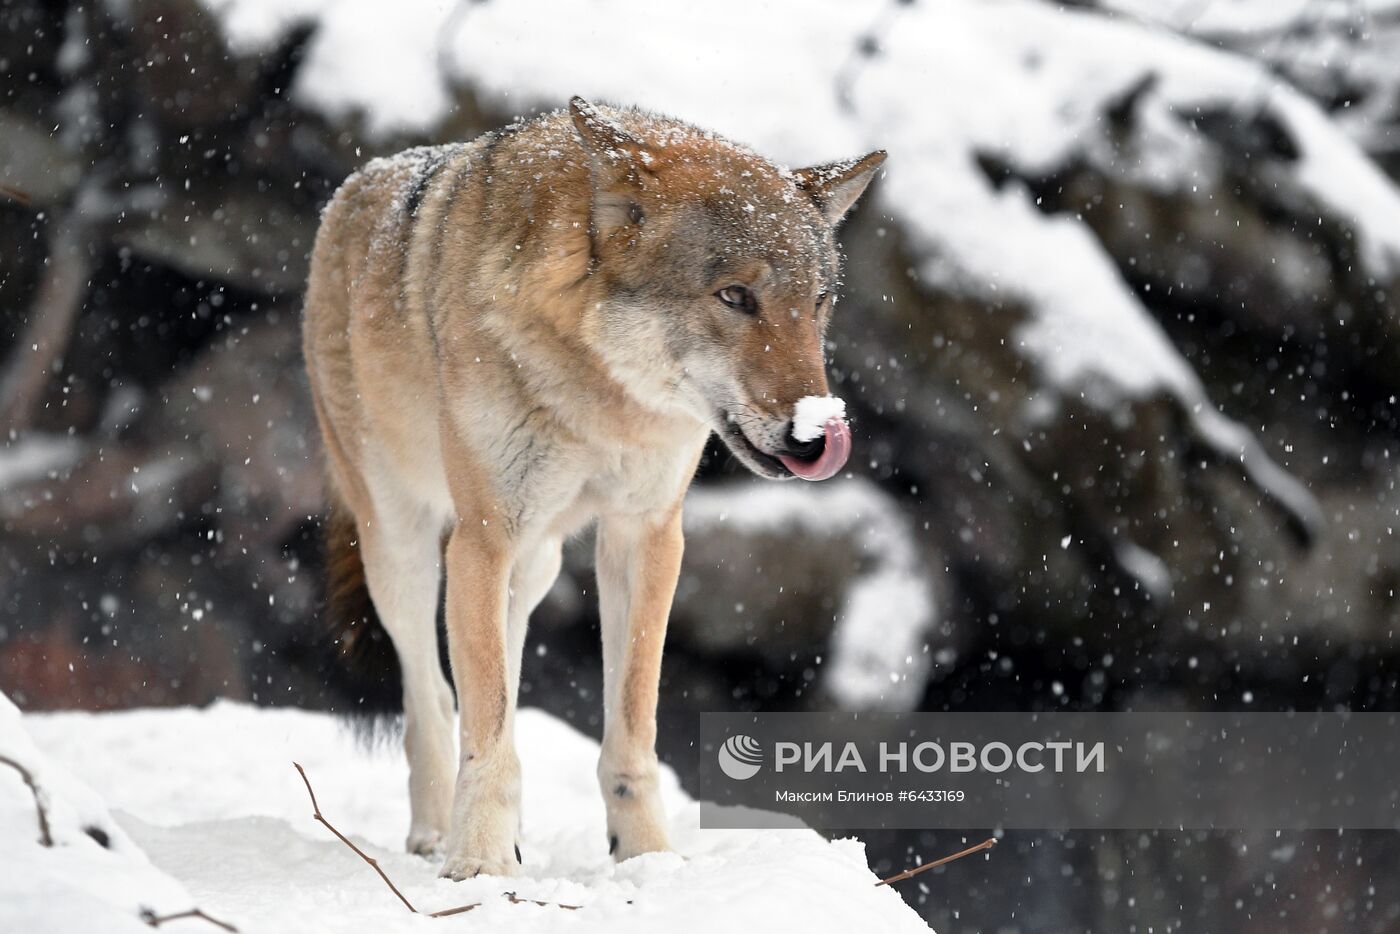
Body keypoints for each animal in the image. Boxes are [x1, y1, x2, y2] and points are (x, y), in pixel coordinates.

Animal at [301, 98, 879, 879]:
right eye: (735, 296)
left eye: (817, 305)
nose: (817, 435)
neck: (604, 400)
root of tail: (355, 186)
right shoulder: (484, 537)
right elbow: (484, 721)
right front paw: (480, 866)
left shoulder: (648, 536)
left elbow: (629, 727)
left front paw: (649, 858)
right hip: (404, 549)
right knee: (433, 697)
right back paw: (434, 834)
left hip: (534, 566)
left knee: (498, 675)